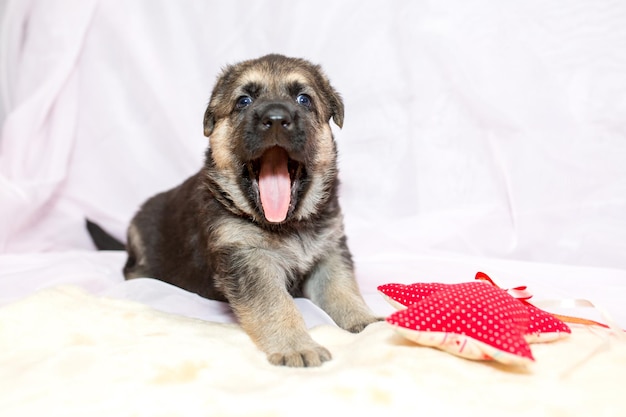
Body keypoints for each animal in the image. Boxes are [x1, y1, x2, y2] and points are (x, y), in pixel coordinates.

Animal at [122, 53, 376, 366]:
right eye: (244, 101)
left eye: (303, 99)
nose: (277, 119)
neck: (287, 225)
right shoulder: (248, 260)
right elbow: (276, 304)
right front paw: (296, 346)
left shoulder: (329, 252)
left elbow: (342, 289)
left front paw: (367, 321)